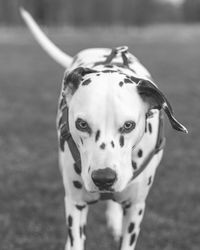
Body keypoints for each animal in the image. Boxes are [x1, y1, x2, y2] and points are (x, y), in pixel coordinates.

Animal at [20, 7, 188, 250]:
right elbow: (76, 237)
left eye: (128, 125)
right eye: (82, 124)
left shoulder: (136, 207)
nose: (103, 178)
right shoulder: (75, 205)